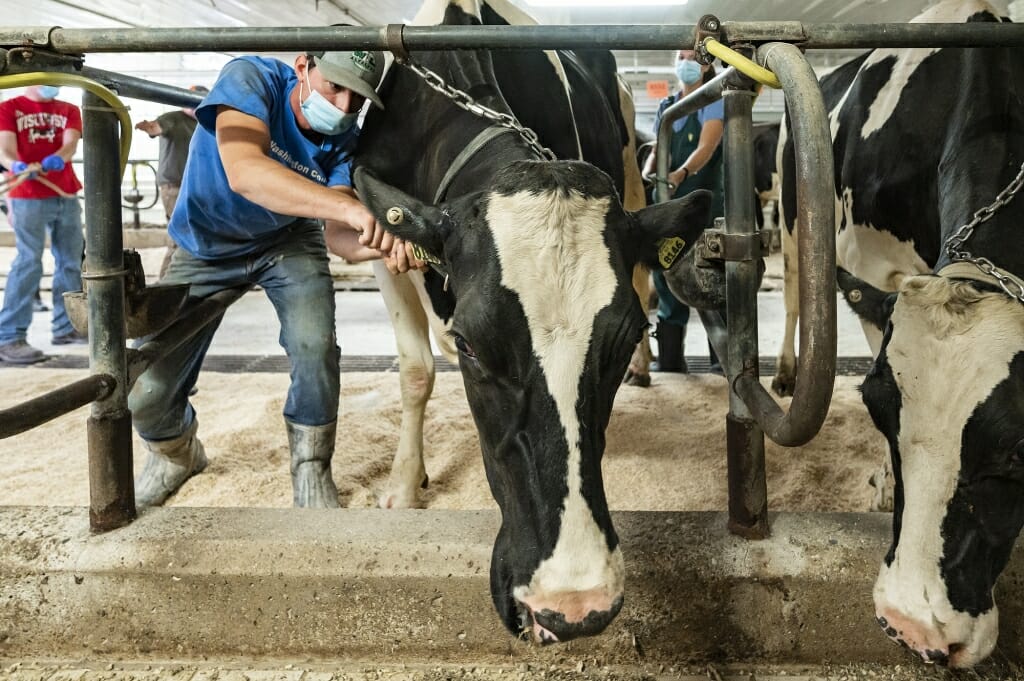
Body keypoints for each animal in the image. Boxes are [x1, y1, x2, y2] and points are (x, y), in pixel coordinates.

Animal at [354, 0, 712, 639]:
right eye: (469, 344)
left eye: (626, 336)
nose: (573, 603)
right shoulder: (382, 242)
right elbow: (416, 371)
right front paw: (403, 485)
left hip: (632, 173)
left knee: (646, 277)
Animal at [774, 0, 1024, 667]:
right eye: (878, 410)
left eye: (1017, 452)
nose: (912, 627)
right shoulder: (873, 269)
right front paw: (887, 484)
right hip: (792, 220)